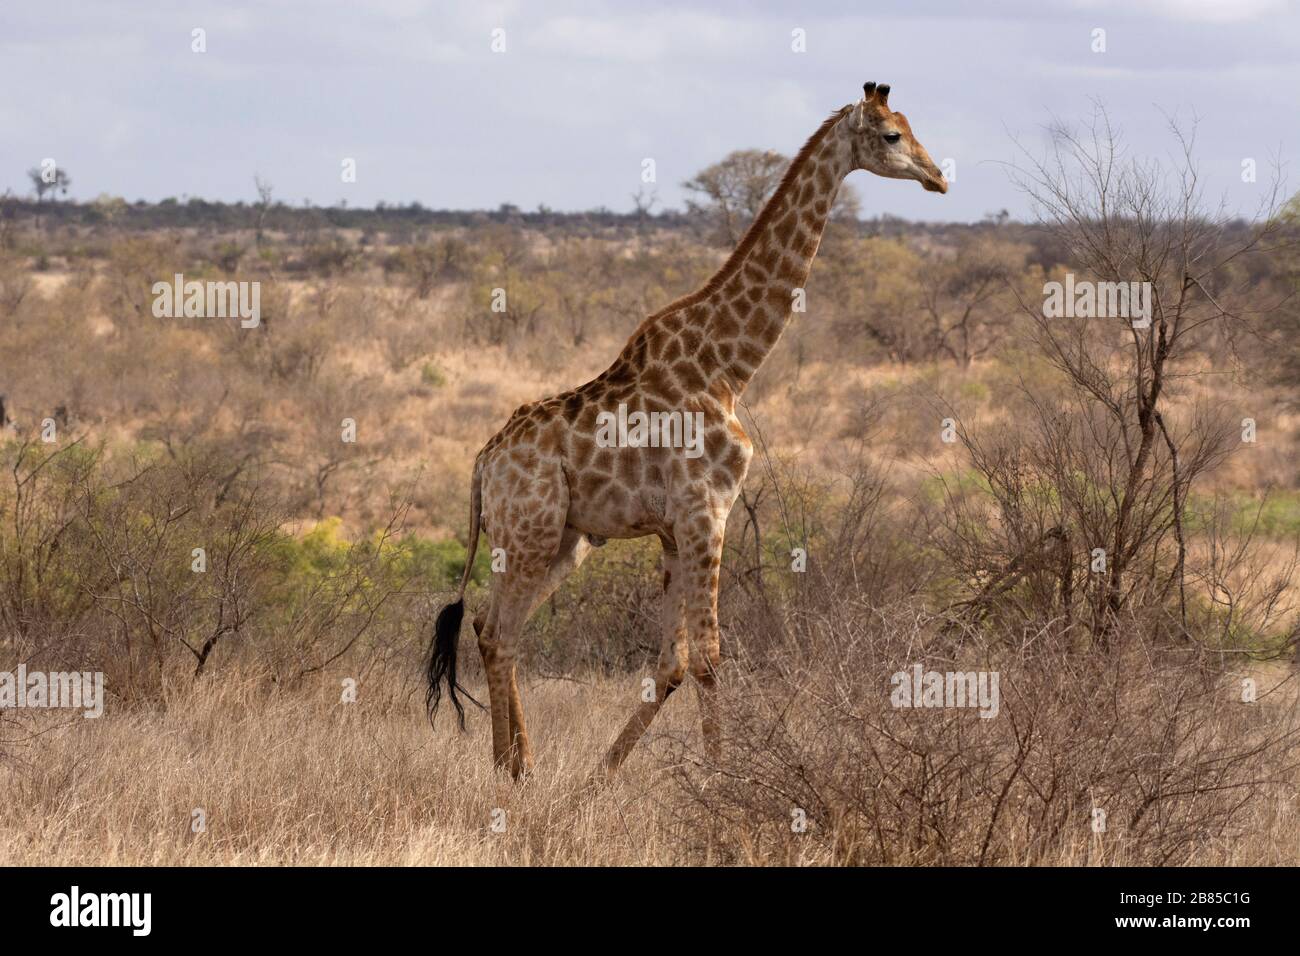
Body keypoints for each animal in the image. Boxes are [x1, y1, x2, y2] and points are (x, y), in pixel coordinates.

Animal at [426, 82, 946, 780]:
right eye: (892, 135)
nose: (939, 177)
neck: (729, 367)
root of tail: (484, 461)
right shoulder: (707, 513)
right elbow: (709, 656)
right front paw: (724, 780)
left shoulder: (674, 530)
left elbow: (670, 664)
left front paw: (603, 775)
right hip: (529, 532)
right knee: (499, 630)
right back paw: (513, 769)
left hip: (564, 539)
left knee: (491, 628)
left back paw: (518, 766)